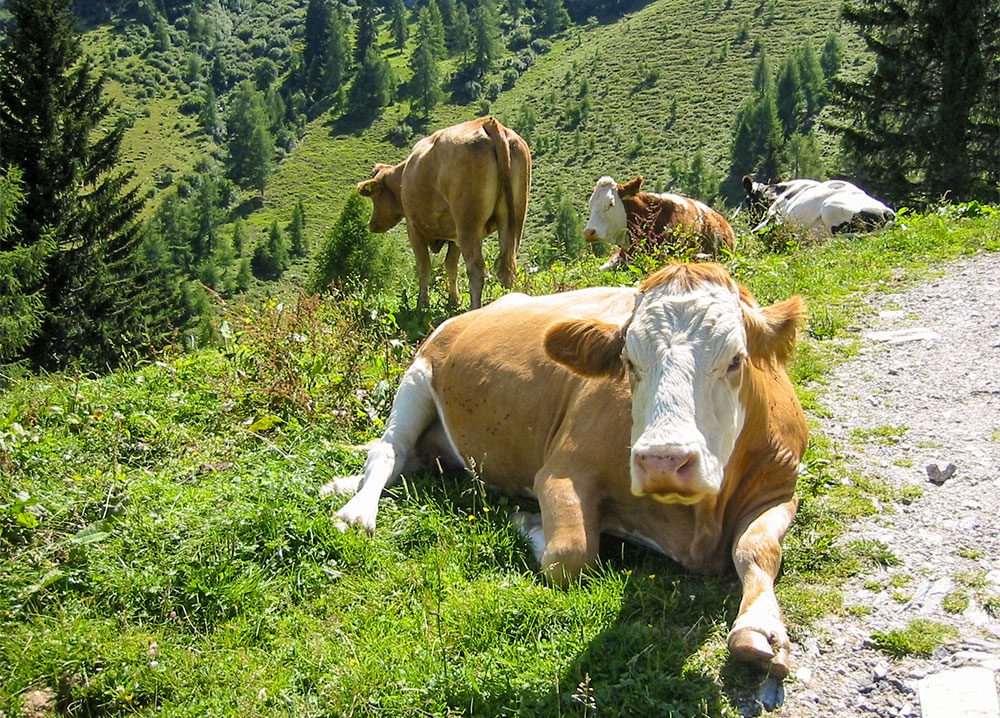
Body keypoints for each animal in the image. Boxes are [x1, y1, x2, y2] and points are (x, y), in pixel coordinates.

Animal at [324, 264, 808, 680]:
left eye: (736, 360)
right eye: (629, 363)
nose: (663, 461)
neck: (696, 523)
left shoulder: (781, 488)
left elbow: (757, 549)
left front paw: (760, 631)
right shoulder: (561, 471)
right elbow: (570, 555)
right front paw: (527, 520)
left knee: (412, 459)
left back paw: (342, 483)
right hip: (418, 374)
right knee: (388, 451)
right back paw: (356, 512)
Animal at [358, 116, 532, 310]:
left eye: (374, 197)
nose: (372, 225)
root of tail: (488, 122)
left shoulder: (413, 228)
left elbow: (424, 267)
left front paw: (422, 304)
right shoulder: (454, 235)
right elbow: (450, 265)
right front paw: (454, 300)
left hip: (468, 224)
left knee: (476, 268)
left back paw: (474, 308)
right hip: (512, 220)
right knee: (507, 268)